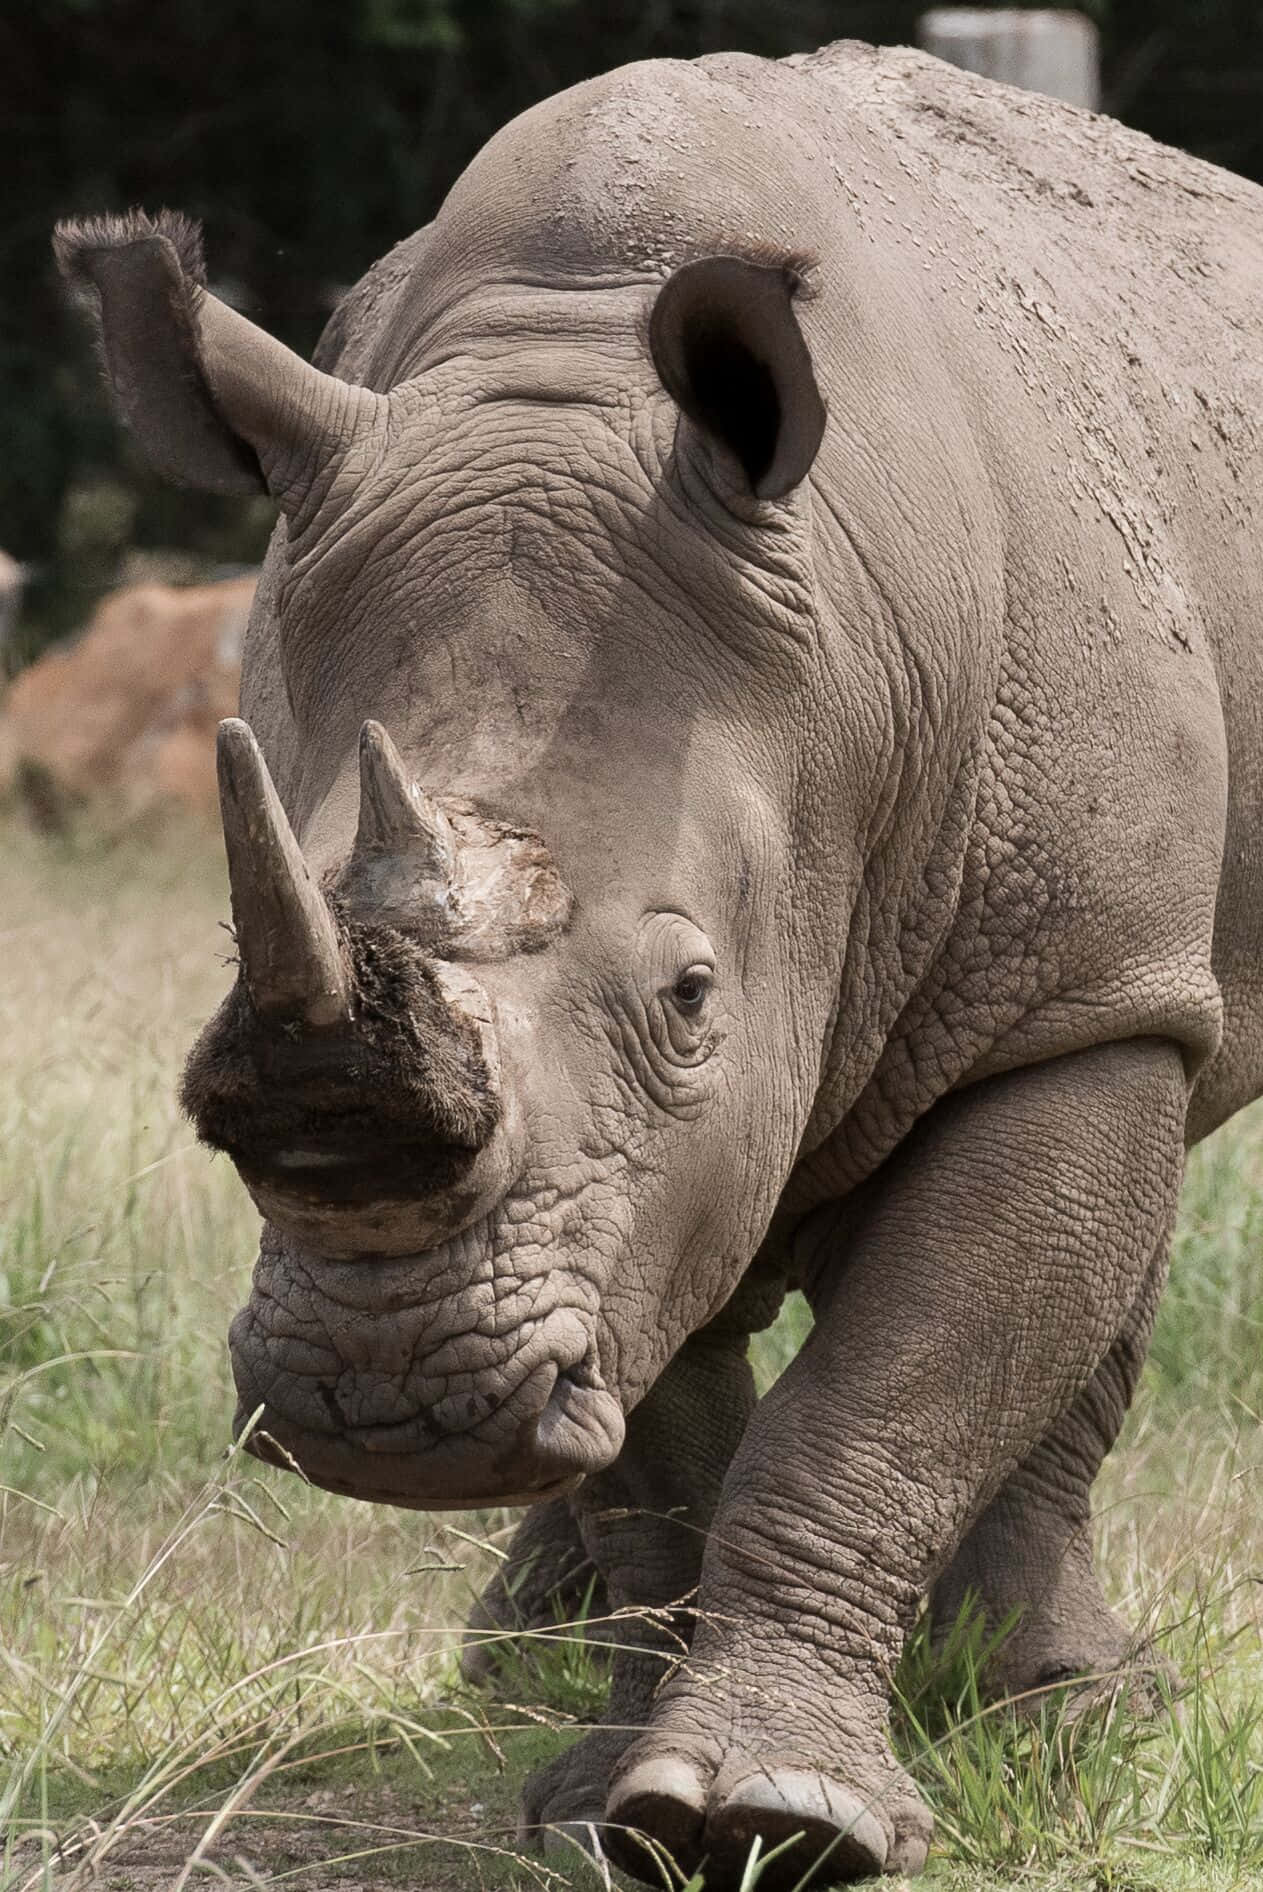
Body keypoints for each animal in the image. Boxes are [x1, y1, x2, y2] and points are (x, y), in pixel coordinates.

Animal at [55, 35, 1263, 1887]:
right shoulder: (612, 1178)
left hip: (1120, 960)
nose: (387, 1404)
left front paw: (775, 1814)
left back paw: (1055, 1722)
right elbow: (663, 1414)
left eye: (689, 998)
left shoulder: (1059, 987)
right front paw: (605, 1797)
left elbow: (882, 1398)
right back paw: (531, 1667)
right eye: (220, 972)